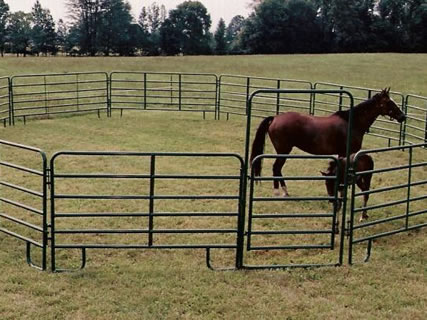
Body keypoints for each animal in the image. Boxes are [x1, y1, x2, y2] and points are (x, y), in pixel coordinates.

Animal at [252, 88, 406, 198]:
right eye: (389, 102)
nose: (402, 116)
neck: (352, 123)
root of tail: (275, 118)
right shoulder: (347, 153)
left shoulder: (341, 154)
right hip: (284, 151)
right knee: (276, 168)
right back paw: (280, 192)